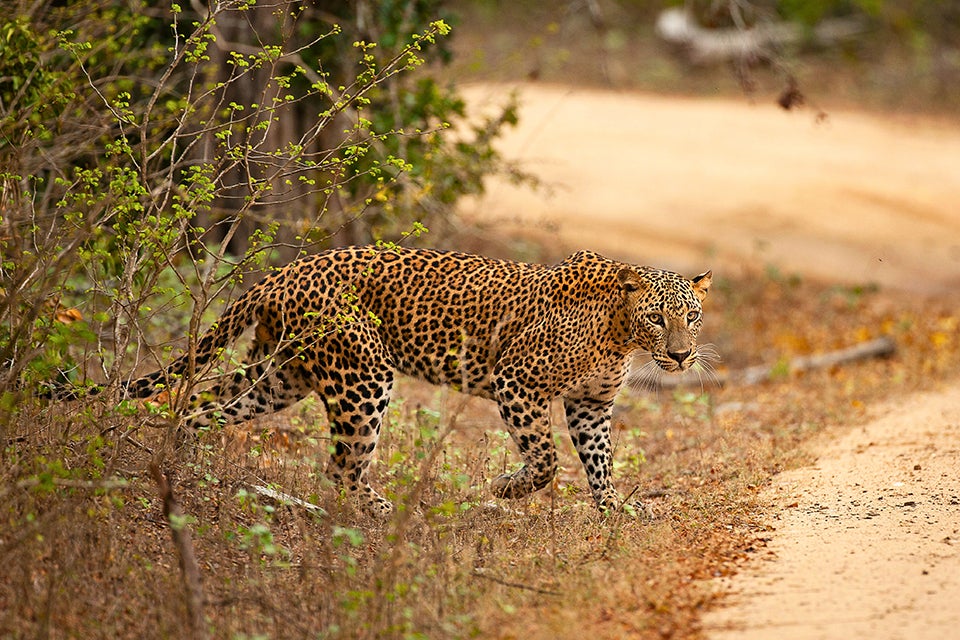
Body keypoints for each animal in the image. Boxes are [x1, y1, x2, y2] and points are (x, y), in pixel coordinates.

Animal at [124, 246, 712, 515]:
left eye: (691, 315)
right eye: (657, 317)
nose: (682, 356)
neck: (621, 334)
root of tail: (286, 271)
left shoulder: (591, 404)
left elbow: (600, 460)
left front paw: (616, 509)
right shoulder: (517, 381)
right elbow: (546, 459)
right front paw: (506, 488)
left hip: (280, 376)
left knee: (200, 406)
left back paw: (177, 468)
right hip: (362, 377)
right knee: (341, 465)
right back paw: (387, 514)